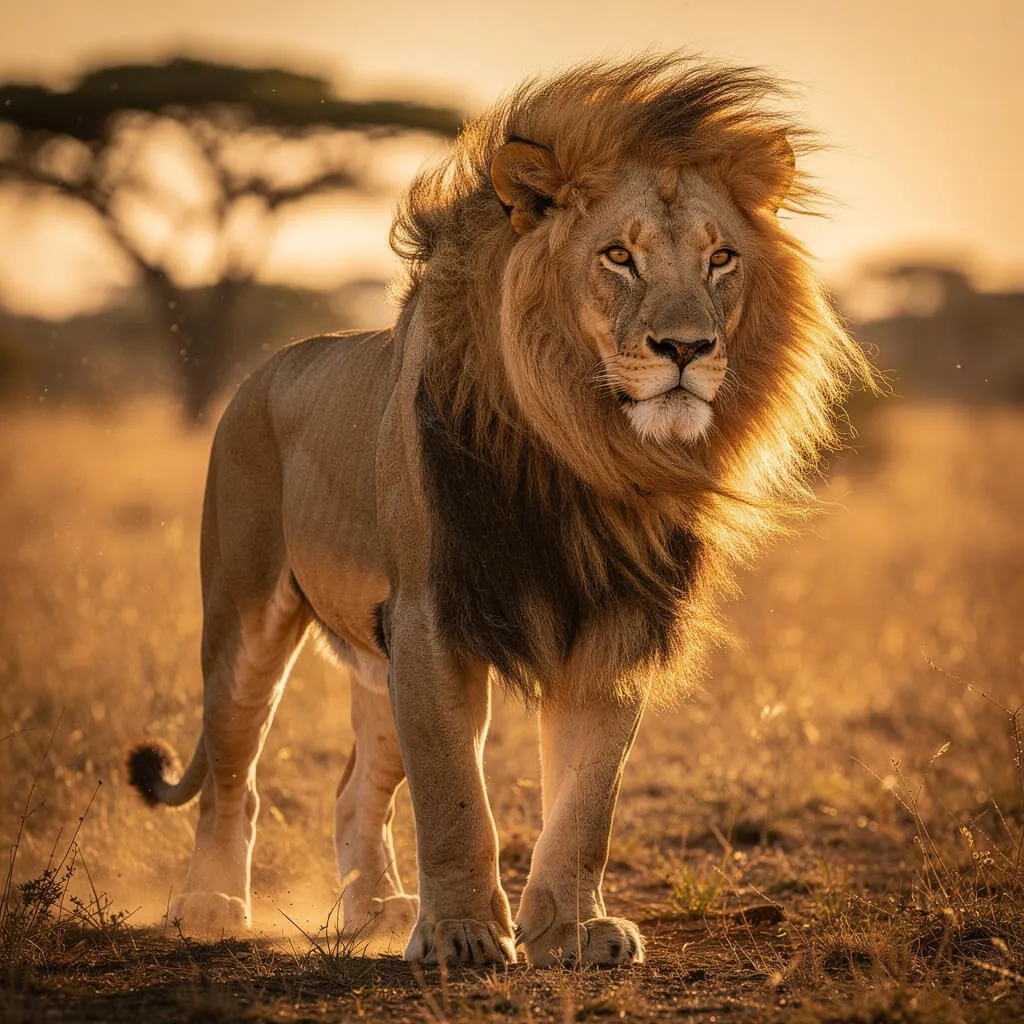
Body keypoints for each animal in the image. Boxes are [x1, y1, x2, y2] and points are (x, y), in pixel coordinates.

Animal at [127, 55, 874, 967]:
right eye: (618, 256)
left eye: (722, 258)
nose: (686, 349)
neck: (586, 454)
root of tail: (263, 371)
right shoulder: (432, 616)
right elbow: (454, 794)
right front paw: (462, 935)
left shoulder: (618, 622)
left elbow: (588, 802)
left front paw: (573, 928)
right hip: (244, 616)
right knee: (235, 775)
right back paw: (210, 905)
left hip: (374, 658)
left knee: (351, 790)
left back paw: (375, 911)